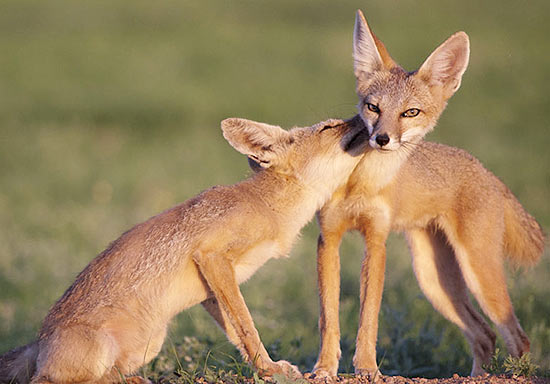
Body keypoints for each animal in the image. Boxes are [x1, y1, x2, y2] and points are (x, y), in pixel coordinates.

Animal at [2, 115, 370, 382]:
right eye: (330, 126)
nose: (364, 114)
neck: (269, 208)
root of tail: (38, 342)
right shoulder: (211, 255)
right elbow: (248, 326)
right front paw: (270, 369)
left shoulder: (213, 287)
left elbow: (237, 333)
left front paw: (264, 368)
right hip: (103, 348)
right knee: (52, 381)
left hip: (150, 344)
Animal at [310, 10, 548, 380]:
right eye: (373, 107)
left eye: (410, 112)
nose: (382, 139)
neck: (359, 182)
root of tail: (487, 171)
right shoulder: (328, 239)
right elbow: (328, 318)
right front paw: (324, 367)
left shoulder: (376, 242)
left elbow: (369, 318)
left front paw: (367, 368)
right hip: (434, 280)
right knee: (485, 335)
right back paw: (476, 377)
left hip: (477, 274)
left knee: (516, 337)